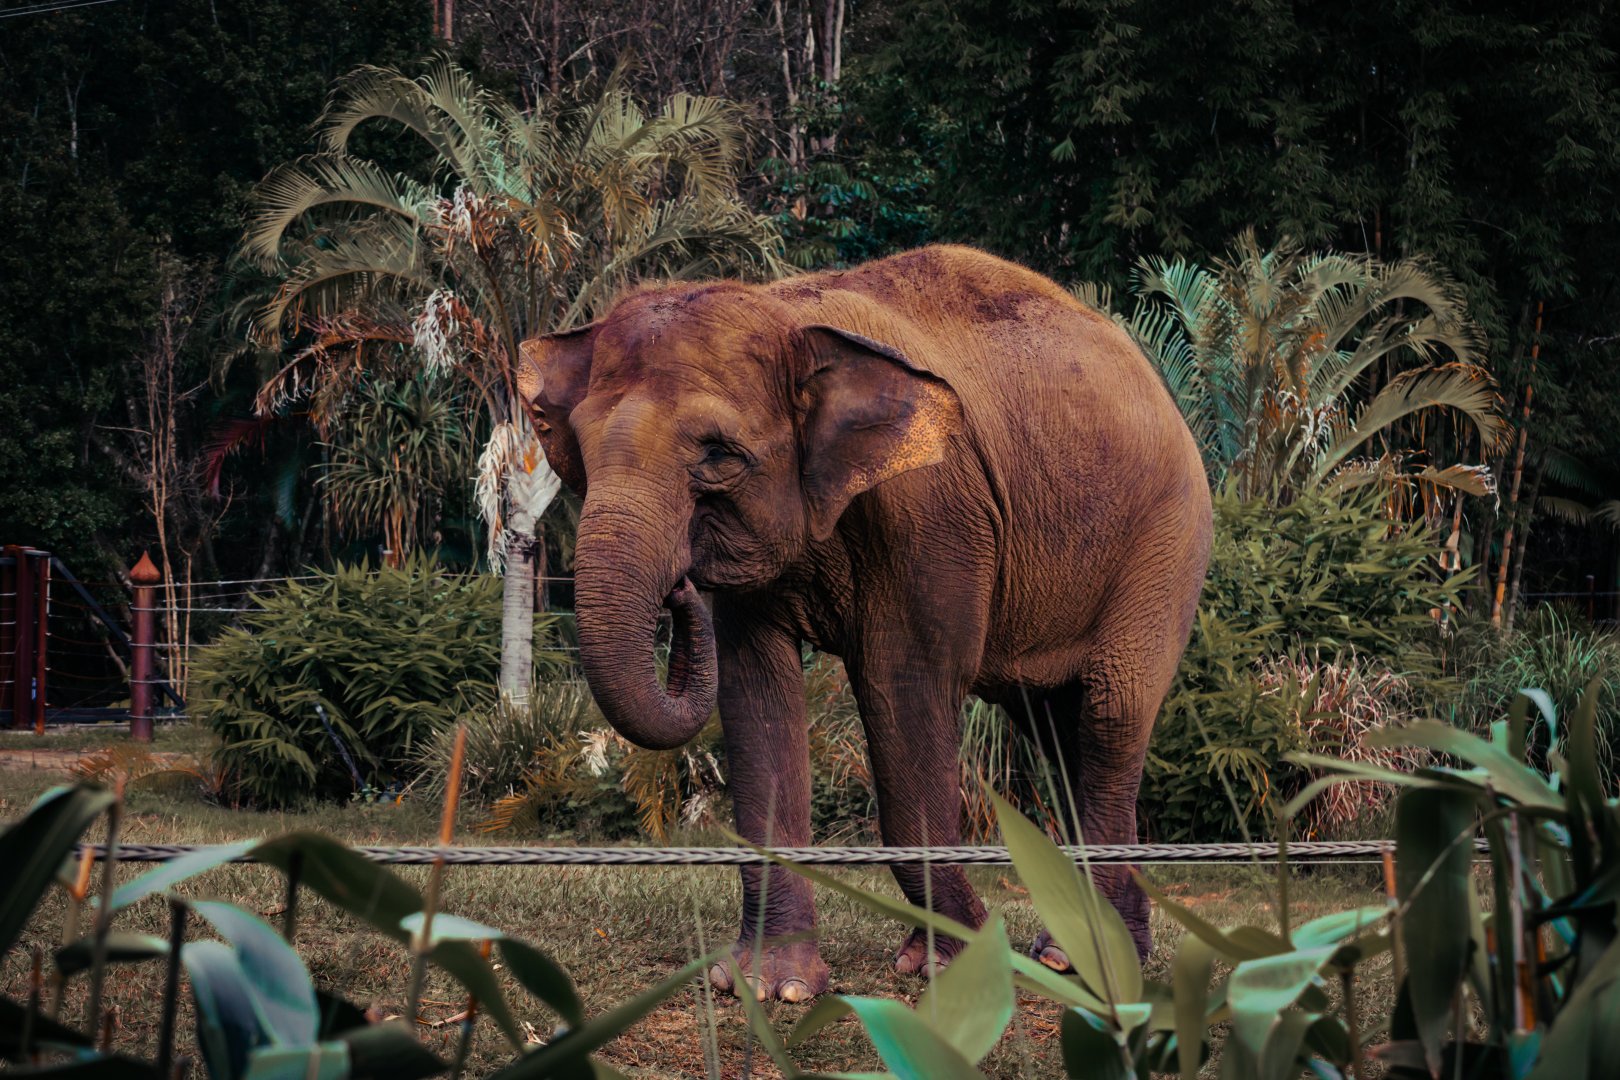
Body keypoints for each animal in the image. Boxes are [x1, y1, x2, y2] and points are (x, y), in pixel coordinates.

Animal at [518, 244, 1212, 1002]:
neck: (790, 313)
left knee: (1111, 715)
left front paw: (959, 960)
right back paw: (1101, 955)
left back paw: (1080, 963)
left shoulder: (932, 508)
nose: (678, 586)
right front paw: (772, 986)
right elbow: (756, 697)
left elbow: (901, 687)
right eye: (581, 450)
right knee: (1062, 736)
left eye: (718, 455)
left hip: (1165, 549)